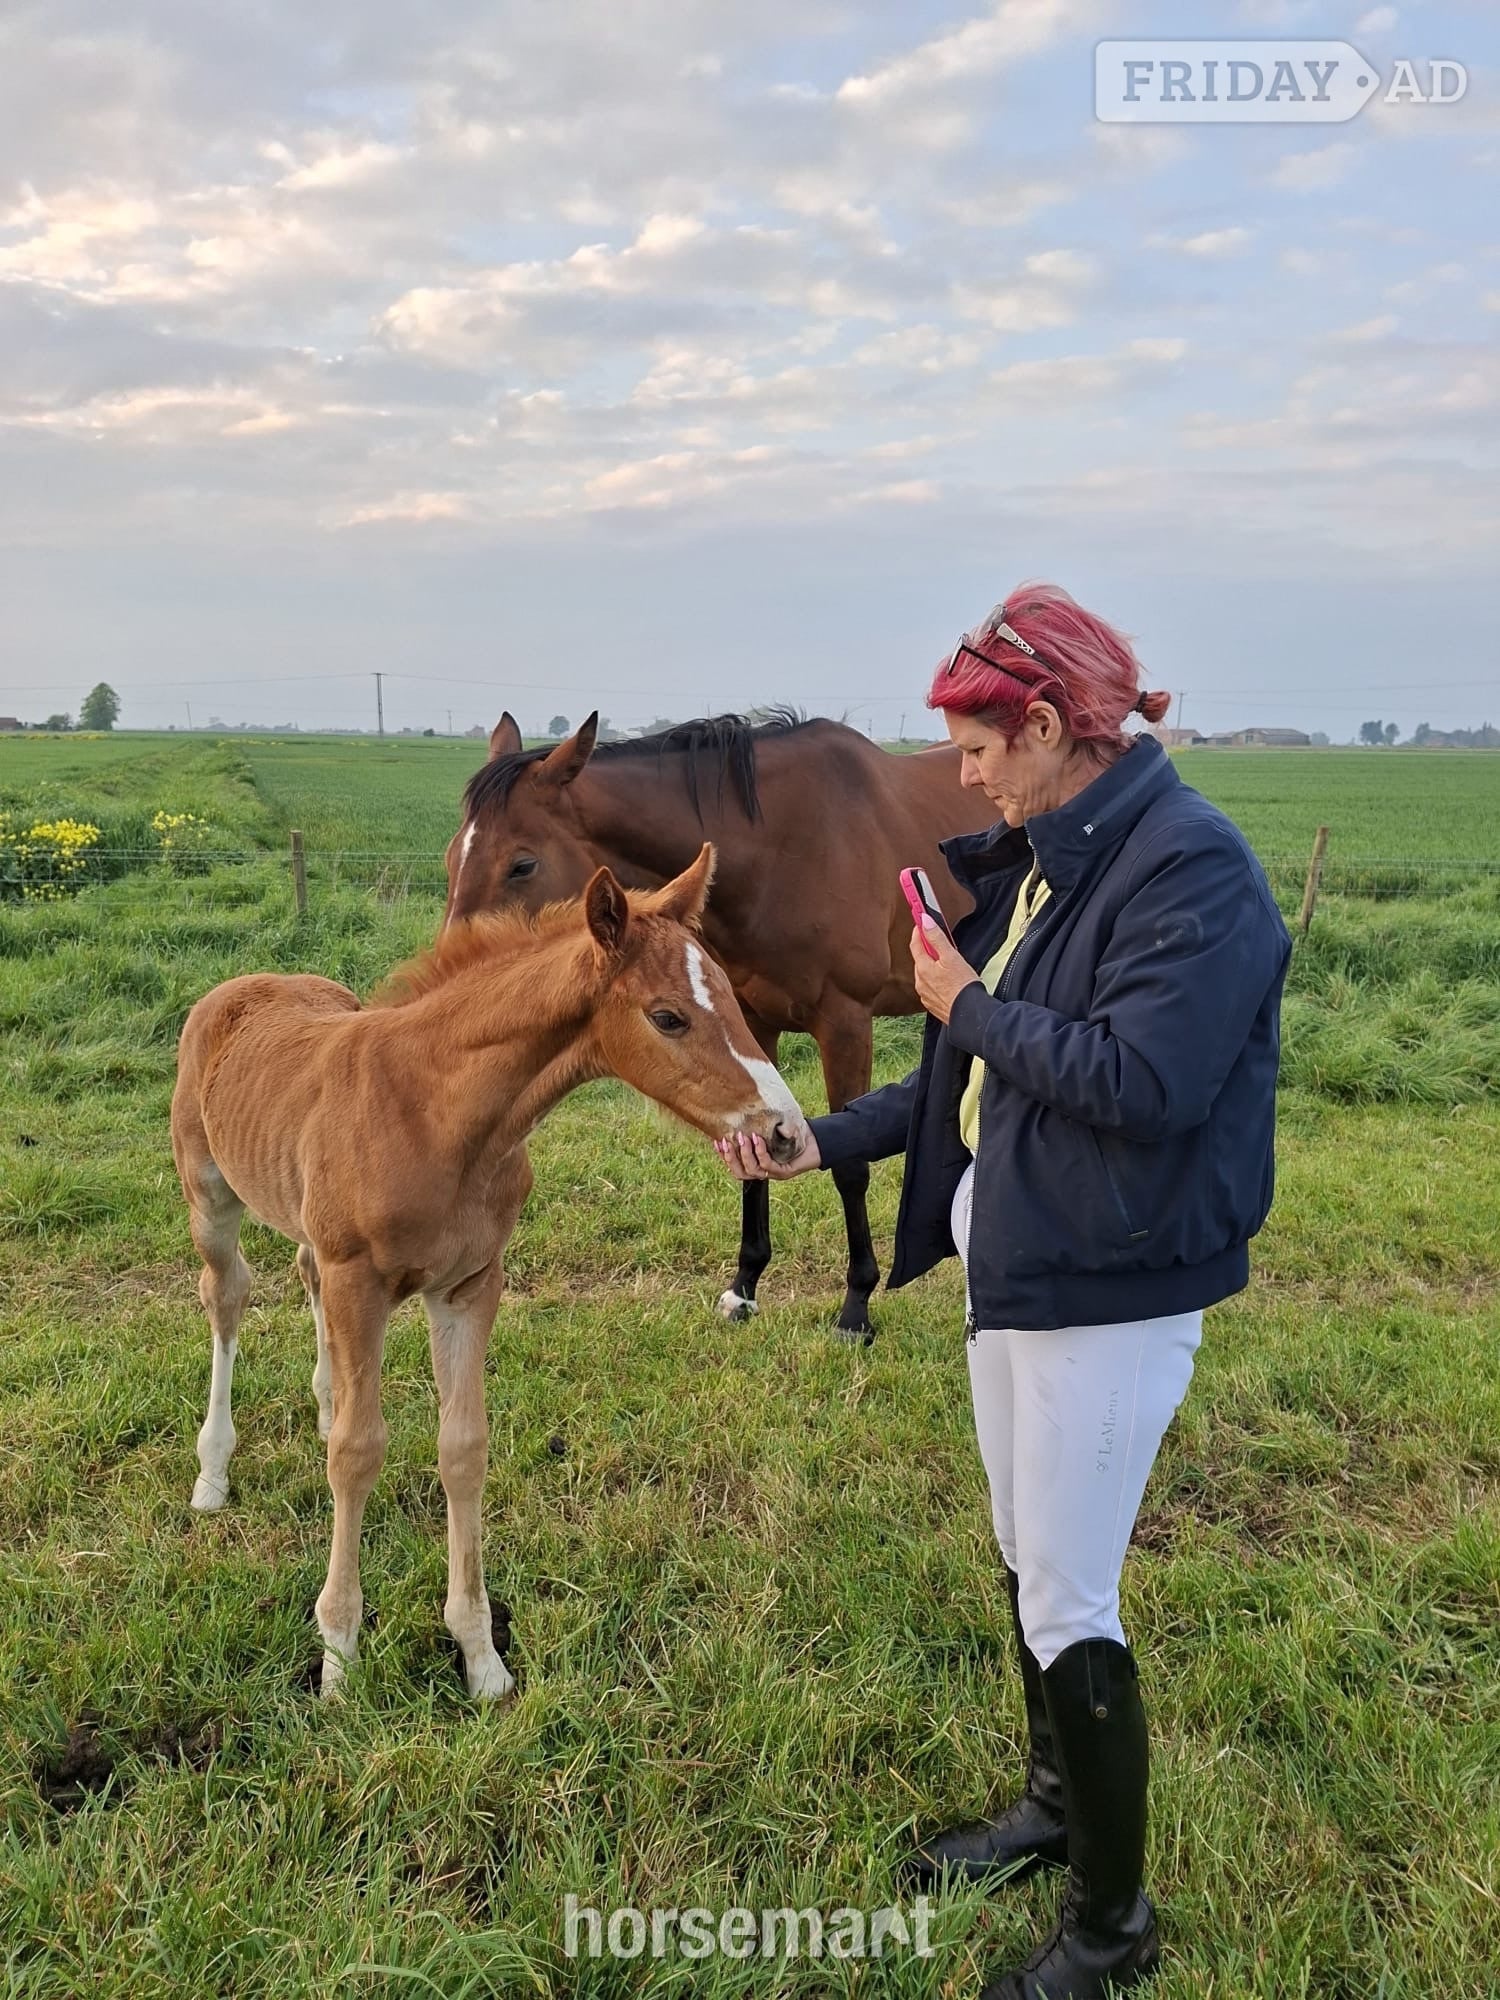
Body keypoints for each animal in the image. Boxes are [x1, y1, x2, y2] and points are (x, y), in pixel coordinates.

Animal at [171, 845, 808, 1700]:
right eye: (668, 1015)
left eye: (734, 999)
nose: (786, 1132)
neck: (435, 1112)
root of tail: (242, 985)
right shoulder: (360, 1281)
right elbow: (359, 1454)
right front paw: (338, 1657)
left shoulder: (469, 1287)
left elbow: (463, 1448)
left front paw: (481, 1658)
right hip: (210, 1197)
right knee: (228, 1297)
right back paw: (213, 1474)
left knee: (302, 1277)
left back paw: (325, 1401)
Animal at [442, 710, 994, 1339]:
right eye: (451, 858)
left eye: (522, 864)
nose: (458, 983)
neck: (785, 849)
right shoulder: (751, 1024)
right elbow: (753, 1149)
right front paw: (744, 1287)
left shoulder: (847, 1024)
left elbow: (850, 1167)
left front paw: (856, 1307)